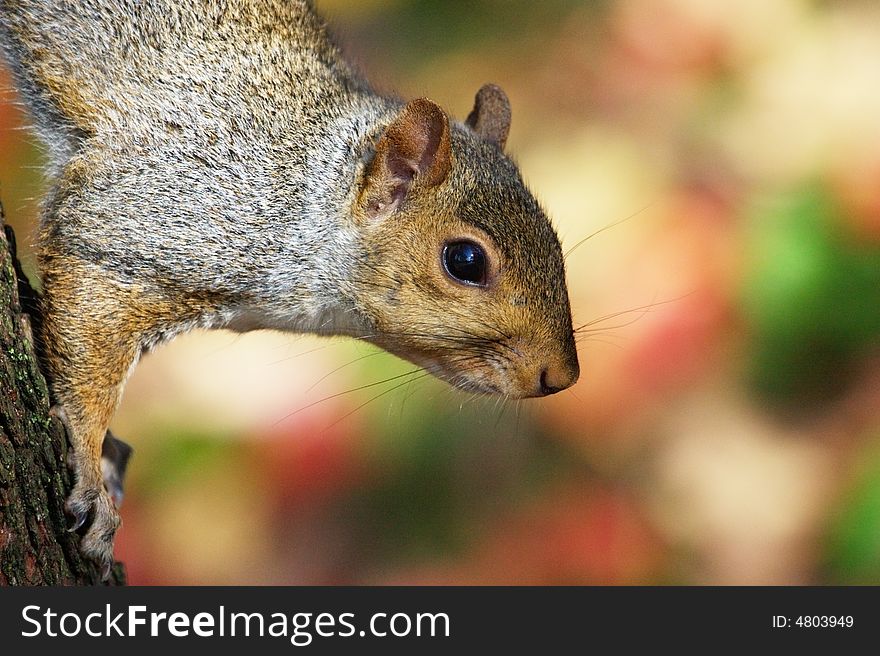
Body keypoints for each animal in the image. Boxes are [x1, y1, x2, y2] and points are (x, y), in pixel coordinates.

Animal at [0, 0, 580, 576]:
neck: (302, 195)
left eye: (555, 237)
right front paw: (92, 470)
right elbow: (87, 331)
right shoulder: (141, 220)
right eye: (465, 260)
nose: (561, 376)